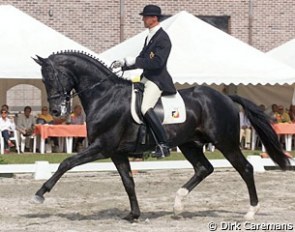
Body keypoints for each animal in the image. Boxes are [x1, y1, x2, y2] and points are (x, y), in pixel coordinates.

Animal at [33, 51, 292, 222]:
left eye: (52, 77)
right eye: (44, 80)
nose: (56, 112)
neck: (104, 95)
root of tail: (226, 97)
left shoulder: (102, 147)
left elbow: (66, 163)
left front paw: (40, 194)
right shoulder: (117, 152)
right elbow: (128, 182)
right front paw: (133, 214)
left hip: (225, 142)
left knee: (245, 169)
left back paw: (250, 212)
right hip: (189, 144)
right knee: (203, 168)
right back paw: (177, 205)